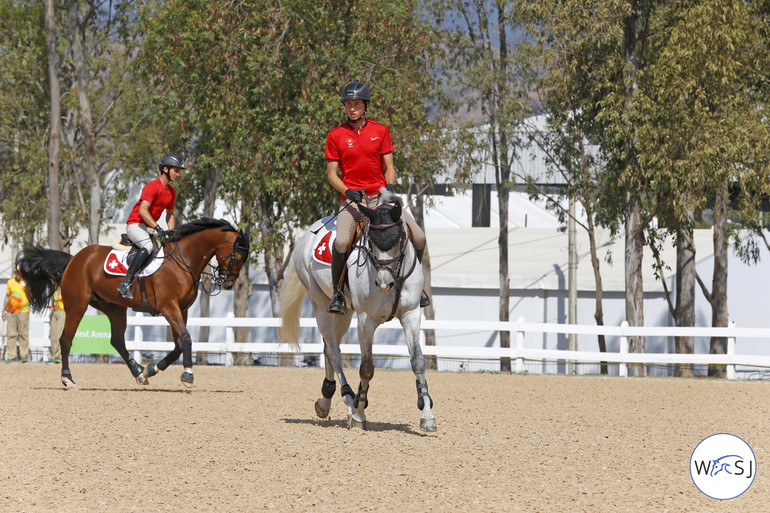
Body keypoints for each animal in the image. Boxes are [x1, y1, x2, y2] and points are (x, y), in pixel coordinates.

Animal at [16, 217, 248, 388]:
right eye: (237, 257)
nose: (228, 283)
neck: (184, 260)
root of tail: (74, 259)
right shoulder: (169, 307)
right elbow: (186, 339)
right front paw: (188, 375)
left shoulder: (182, 309)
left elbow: (179, 345)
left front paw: (152, 369)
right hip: (77, 306)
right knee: (66, 339)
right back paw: (67, 378)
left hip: (114, 308)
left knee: (117, 340)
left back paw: (138, 372)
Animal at [280, 186, 438, 430]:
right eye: (370, 242)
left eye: (399, 239)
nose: (384, 284)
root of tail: (307, 234)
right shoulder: (366, 320)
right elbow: (367, 367)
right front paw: (360, 412)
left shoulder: (411, 313)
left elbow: (418, 361)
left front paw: (427, 415)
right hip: (320, 304)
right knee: (334, 352)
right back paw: (348, 401)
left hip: (344, 314)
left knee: (328, 347)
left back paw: (326, 401)